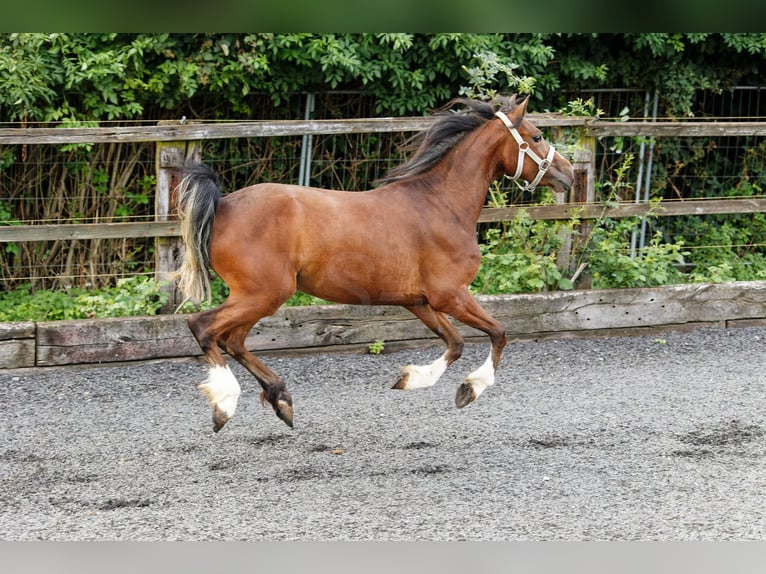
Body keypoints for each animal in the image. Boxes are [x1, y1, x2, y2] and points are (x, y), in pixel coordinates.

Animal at [174, 94, 576, 432]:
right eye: (538, 136)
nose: (569, 174)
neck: (441, 204)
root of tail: (223, 205)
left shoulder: (419, 302)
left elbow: (456, 342)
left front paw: (410, 379)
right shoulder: (451, 295)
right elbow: (498, 332)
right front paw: (469, 389)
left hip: (259, 296)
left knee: (234, 340)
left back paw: (282, 400)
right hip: (264, 293)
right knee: (204, 328)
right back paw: (224, 404)